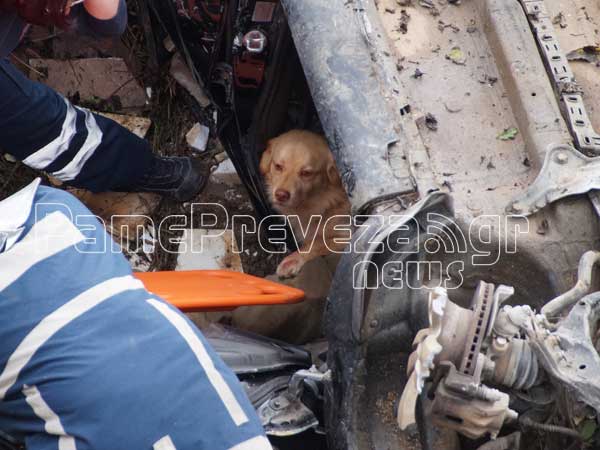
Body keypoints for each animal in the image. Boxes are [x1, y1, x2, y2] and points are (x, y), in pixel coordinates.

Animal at [258, 129, 352, 278]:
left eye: (306, 173)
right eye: (278, 166)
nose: (281, 195)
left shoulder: (348, 234)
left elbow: (316, 243)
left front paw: (291, 260)